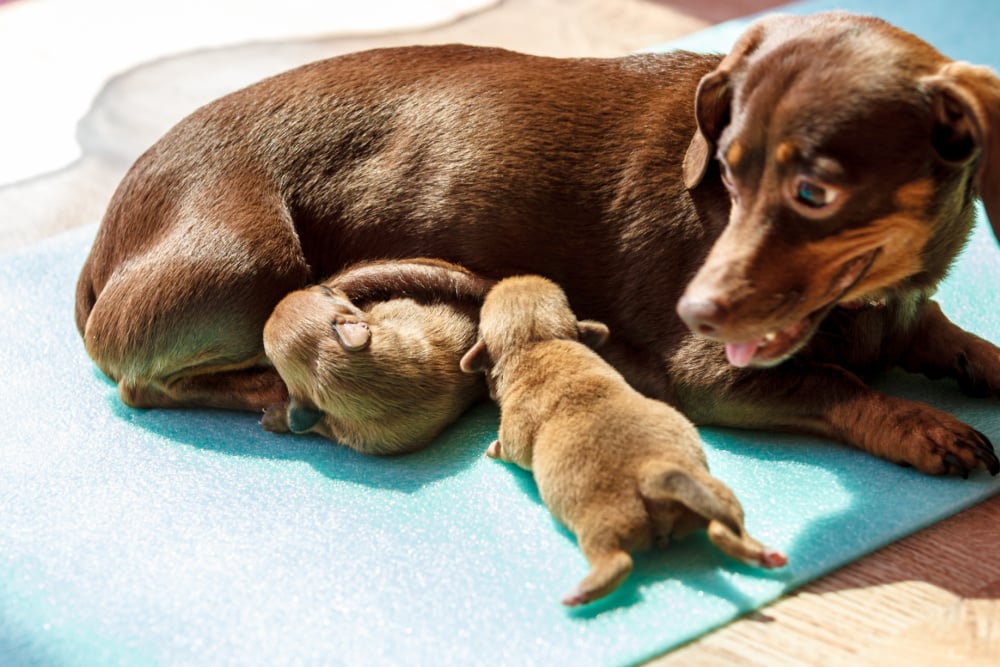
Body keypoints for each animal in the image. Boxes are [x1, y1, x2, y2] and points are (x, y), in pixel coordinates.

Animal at [460, 274, 788, 608]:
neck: (539, 340)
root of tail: (652, 475)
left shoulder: (516, 428)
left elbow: (511, 447)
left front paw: (494, 449)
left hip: (605, 523)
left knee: (617, 561)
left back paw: (581, 592)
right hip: (711, 492)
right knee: (723, 529)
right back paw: (764, 554)